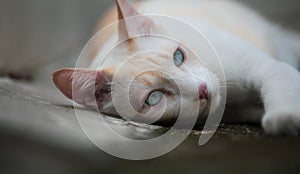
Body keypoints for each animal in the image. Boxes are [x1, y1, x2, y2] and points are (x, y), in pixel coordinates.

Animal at [51, 0, 300, 135]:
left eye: (178, 56)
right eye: (153, 98)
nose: (203, 90)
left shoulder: (262, 65)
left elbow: (280, 78)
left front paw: (285, 116)